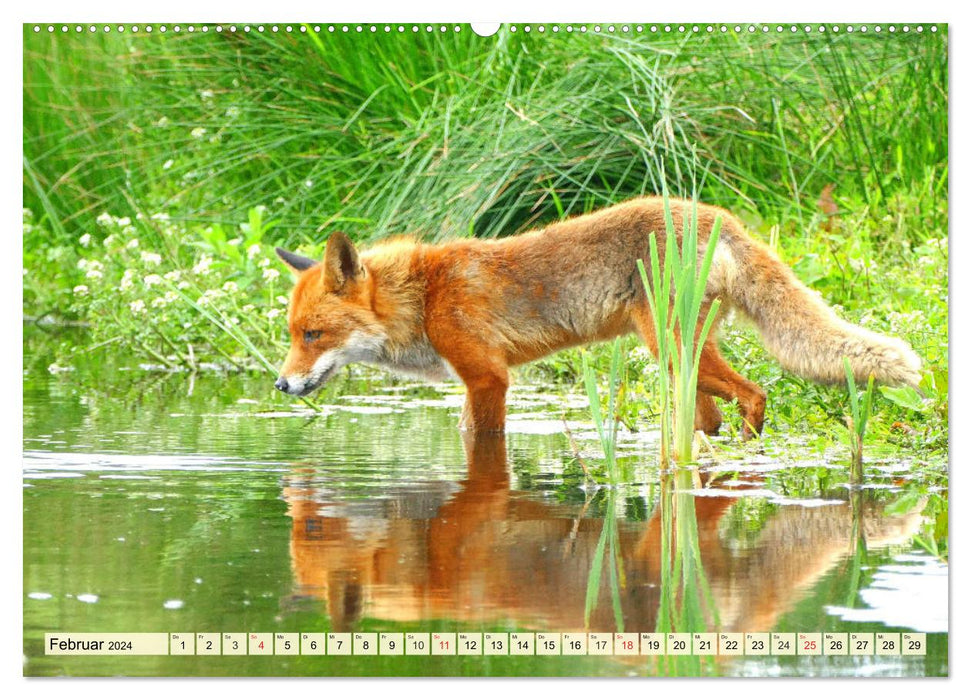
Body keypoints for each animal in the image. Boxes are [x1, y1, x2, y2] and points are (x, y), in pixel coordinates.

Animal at [274, 197, 920, 438]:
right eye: (292, 336)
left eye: (314, 335)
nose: (280, 384)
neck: (424, 297)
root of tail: (717, 214)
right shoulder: (475, 382)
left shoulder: (488, 379)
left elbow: (480, 441)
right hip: (684, 361)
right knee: (713, 415)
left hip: (670, 349)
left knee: (756, 393)